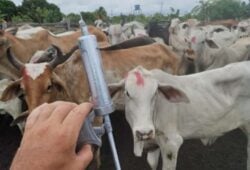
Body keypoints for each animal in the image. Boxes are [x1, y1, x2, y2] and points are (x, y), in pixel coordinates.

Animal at [109, 63, 250, 169]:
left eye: (155, 93)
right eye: (127, 93)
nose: (145, 132)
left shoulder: (171, 143)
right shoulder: (154, 146)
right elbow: (152, 163)